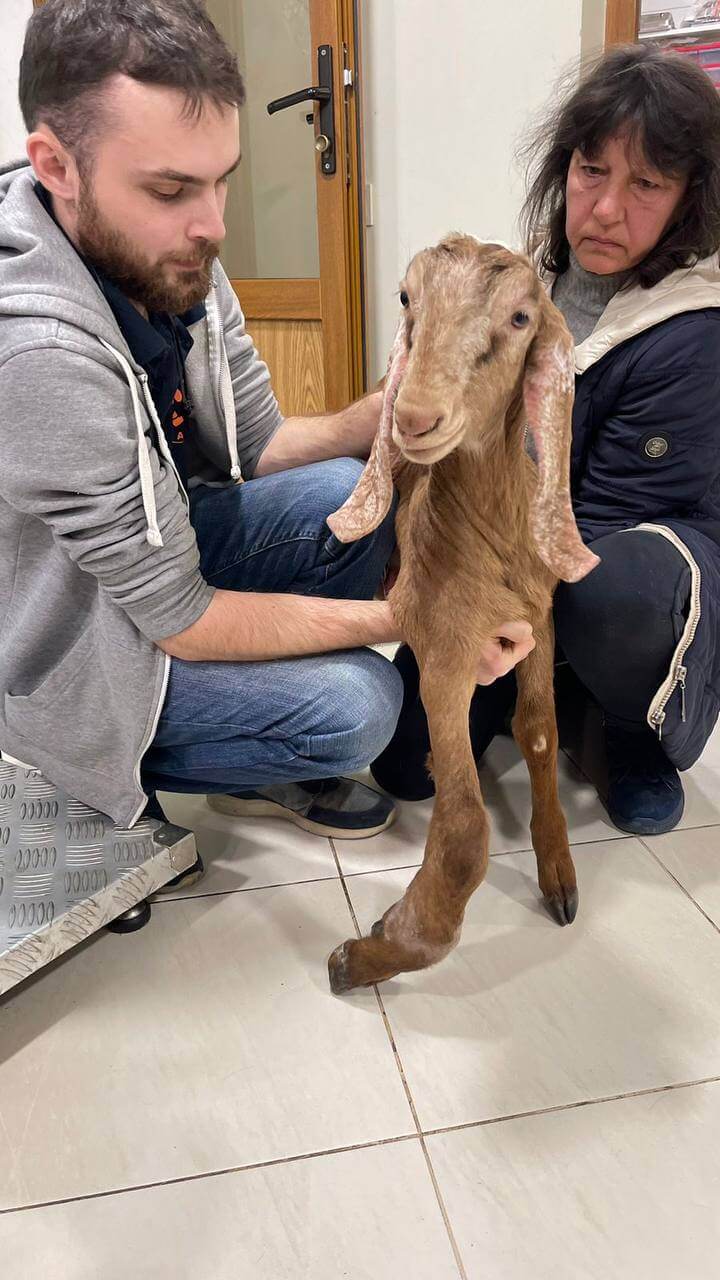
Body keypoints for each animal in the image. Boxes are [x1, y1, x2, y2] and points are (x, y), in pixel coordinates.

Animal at [326, 235, 599, 995]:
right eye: (406, 298)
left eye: (519, 317)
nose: (413, 418)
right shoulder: (446, 648)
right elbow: (465, 832)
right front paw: (373, 951)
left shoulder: (537, 622)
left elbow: (539, 733)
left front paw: (558, 873)